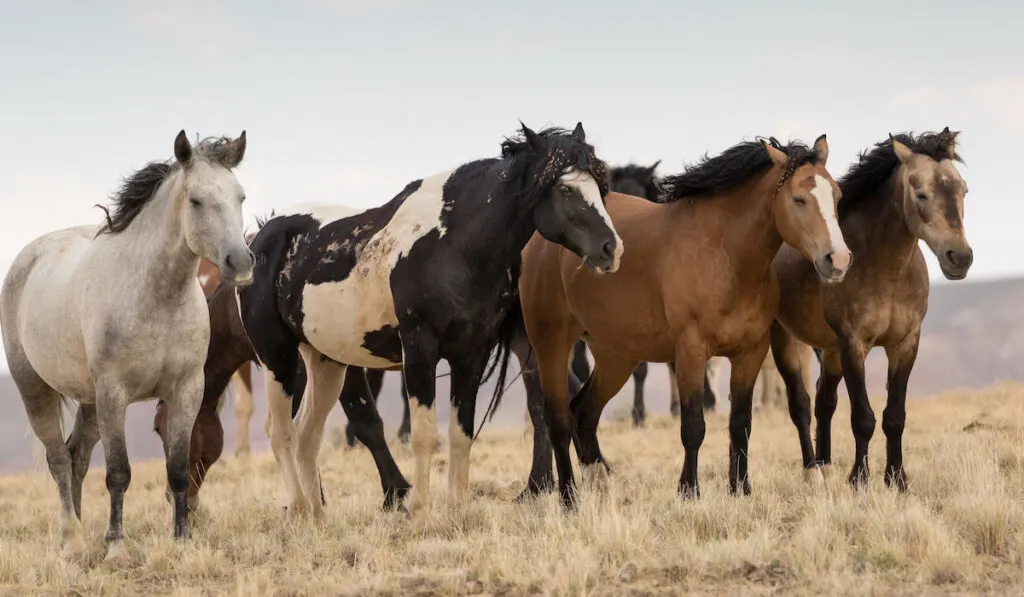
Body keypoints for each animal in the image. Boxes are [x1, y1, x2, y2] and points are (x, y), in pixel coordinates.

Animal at [0, 129, 253, 561]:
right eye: (196, 200)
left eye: (240, 197)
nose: (241, 263)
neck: (155, 296)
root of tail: (29, 257)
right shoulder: (114, 395)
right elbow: (119, 473)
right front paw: (116, 546)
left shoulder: (187, 391)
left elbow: (177, 470)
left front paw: (182, 540)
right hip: (37, 390)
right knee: (58, 459)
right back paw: (71, 539)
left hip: (89, 402)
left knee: (77, 457)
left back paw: (80, 532)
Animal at [239, 122, 622, 524]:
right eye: (564, 188)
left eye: (600, 186)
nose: (611, 248)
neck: (453, 247)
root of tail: (262, 237)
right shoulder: (419, 350)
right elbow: (423, 434)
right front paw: (421, 510)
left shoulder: (472, 354)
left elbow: (460, 432)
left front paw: (458, 507)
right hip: (276, 356)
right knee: (281, 432)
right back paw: (298, 509)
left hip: (326, 361)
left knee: (306, 435)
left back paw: (316, 516)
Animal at [520, 133, 847, 507]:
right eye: (798, 199)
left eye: (836, 195)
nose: (837, 260)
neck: (724, 254)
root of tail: (540, 242)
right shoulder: (691, 350)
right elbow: (693, 425)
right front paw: (689, 490)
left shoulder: (750, 352)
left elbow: (741, 423)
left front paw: (741, 489)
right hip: (551, 346)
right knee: (558, 418)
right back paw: (569, 498)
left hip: (616, 356)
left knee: (584, 413)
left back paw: (600, 480)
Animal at [770, 127, 970, 491]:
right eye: (921, 194)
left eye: (963, 189)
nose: (960, 257)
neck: (886, 269)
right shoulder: (853, 343)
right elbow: (862, 417)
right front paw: (859, 480)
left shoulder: (905, 343)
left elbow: (894, 416)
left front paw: (897, 479)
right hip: (785, 340)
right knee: (801, 403)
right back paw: (812, 469)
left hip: (829, 351)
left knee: (824, 400)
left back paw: (826, 464)